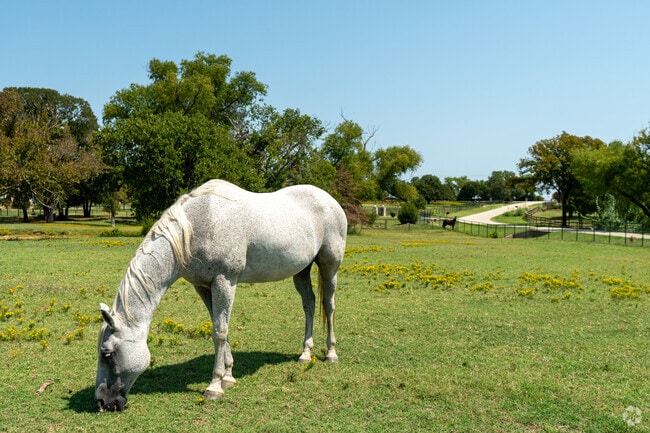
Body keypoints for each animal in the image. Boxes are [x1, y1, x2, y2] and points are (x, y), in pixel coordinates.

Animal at [95, 180, 347, 411]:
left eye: (107, 354)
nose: (102, 402)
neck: (197, 227)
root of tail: (330, 200)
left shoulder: (224, 281)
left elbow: (219, 332)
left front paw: (214, 386)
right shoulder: (204, 286)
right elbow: (220, 328)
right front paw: (228, 376)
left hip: (329, 264)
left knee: (329, 305)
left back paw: (331, 354)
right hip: (301, 271)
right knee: (309, 304)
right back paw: (305, 353)